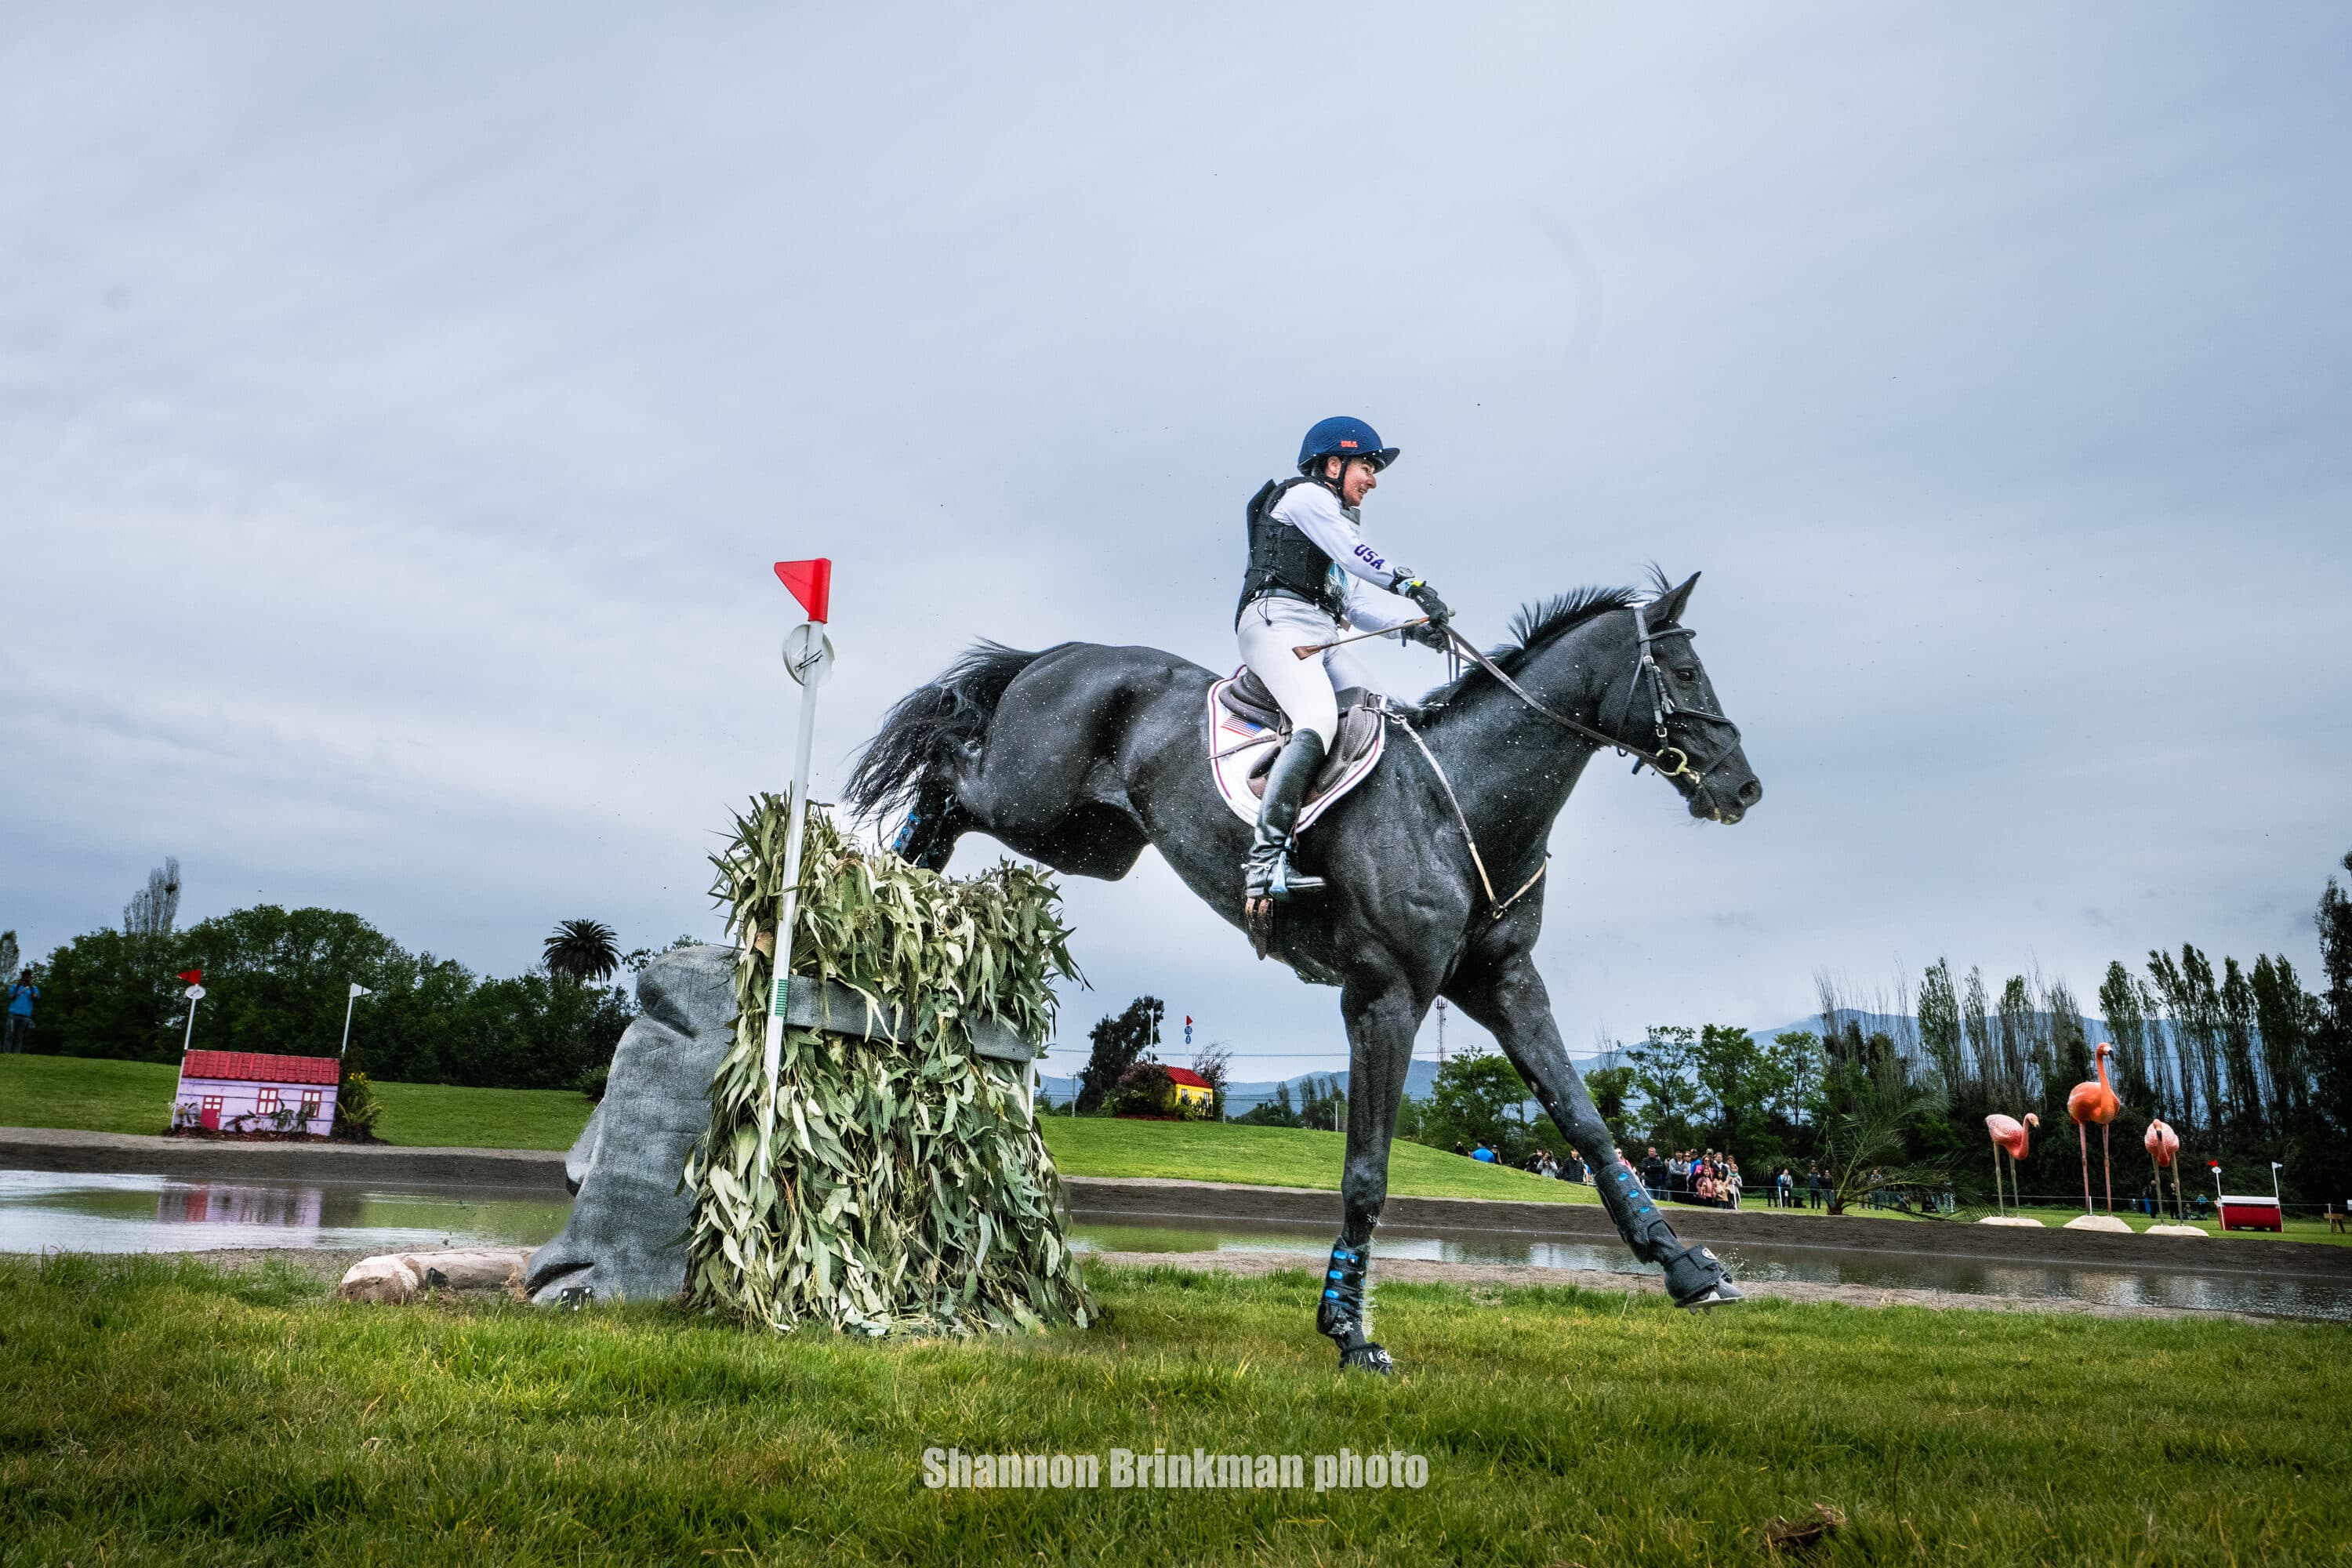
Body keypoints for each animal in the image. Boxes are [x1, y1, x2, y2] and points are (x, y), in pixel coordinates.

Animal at [845, 570, 1763, 1371]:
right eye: (1686, 672)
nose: (1743, 788)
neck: (1466, 800)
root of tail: (1062, 653)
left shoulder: (1505, 985)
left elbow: (1588, 1123)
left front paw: (1685, 1266)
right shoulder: (1387, 996)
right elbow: (1367, 1174)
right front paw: (1350, 1329)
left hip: (1091, 841)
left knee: (957, 788)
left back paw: (908, 882)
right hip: (1030, 799)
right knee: (947, 763)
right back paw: (896, 865)